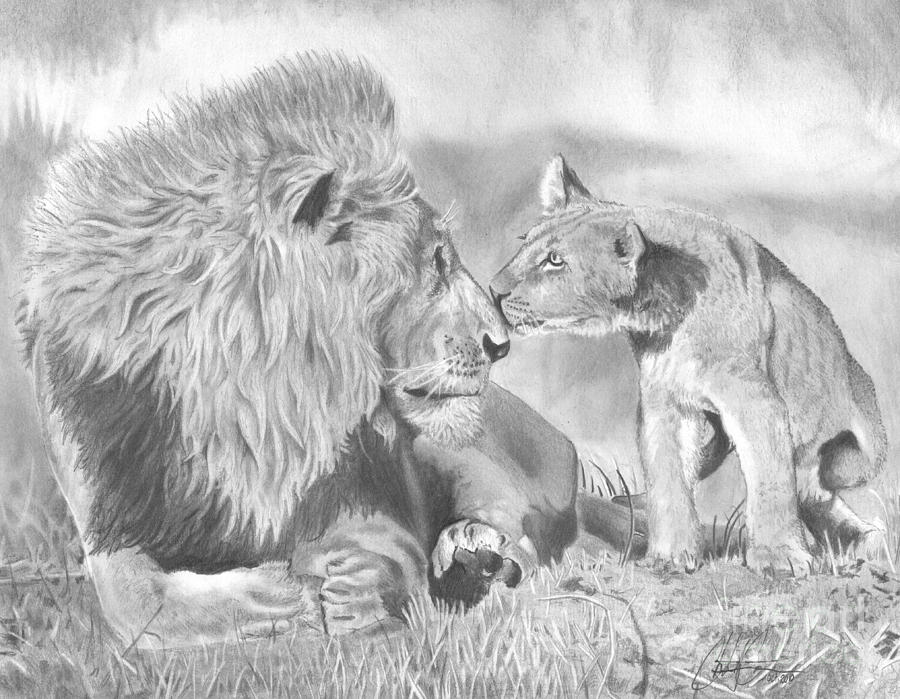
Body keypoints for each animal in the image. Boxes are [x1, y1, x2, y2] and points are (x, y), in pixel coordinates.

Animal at [15, 55, 578, 647]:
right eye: (438, 261)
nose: (501, 344)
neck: (248, 407)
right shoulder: (108, 522)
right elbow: (133, 596)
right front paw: (273, 599)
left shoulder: (361, 491)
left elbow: (388, 544)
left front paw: (359, 584)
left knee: (523, 528)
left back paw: (473, 550)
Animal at [490, 154, 888, 575]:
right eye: (524, 244)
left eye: (555, 261)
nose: (494, 290)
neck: (664, 315)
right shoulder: (665, 405)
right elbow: (668, 479)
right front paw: (669, 555)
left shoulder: (756, 402)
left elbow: (770, 480)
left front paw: (777, 556)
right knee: (815, 497)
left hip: (857, 452)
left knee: (821, 479)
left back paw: (866, 540)